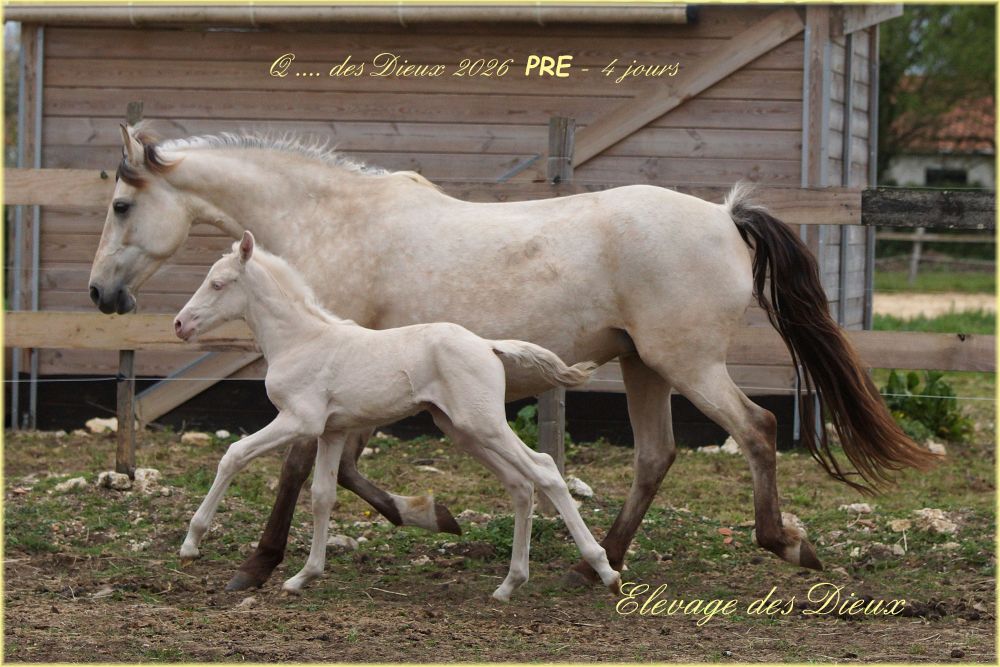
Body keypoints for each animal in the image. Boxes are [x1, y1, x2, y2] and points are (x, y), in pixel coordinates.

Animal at [173, 231, 620, 600]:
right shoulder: (332, 431)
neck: (301, 340)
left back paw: (604, 569)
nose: (179, 324)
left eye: (218, 283)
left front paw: (191, 545)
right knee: (520, 485)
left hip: (485, 425)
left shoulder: (299, 420)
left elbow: (234, 454)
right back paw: (509, 584)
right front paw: (304, 576)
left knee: (543, 468)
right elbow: (322, 496)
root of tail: (489, 346)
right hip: (462, 430)